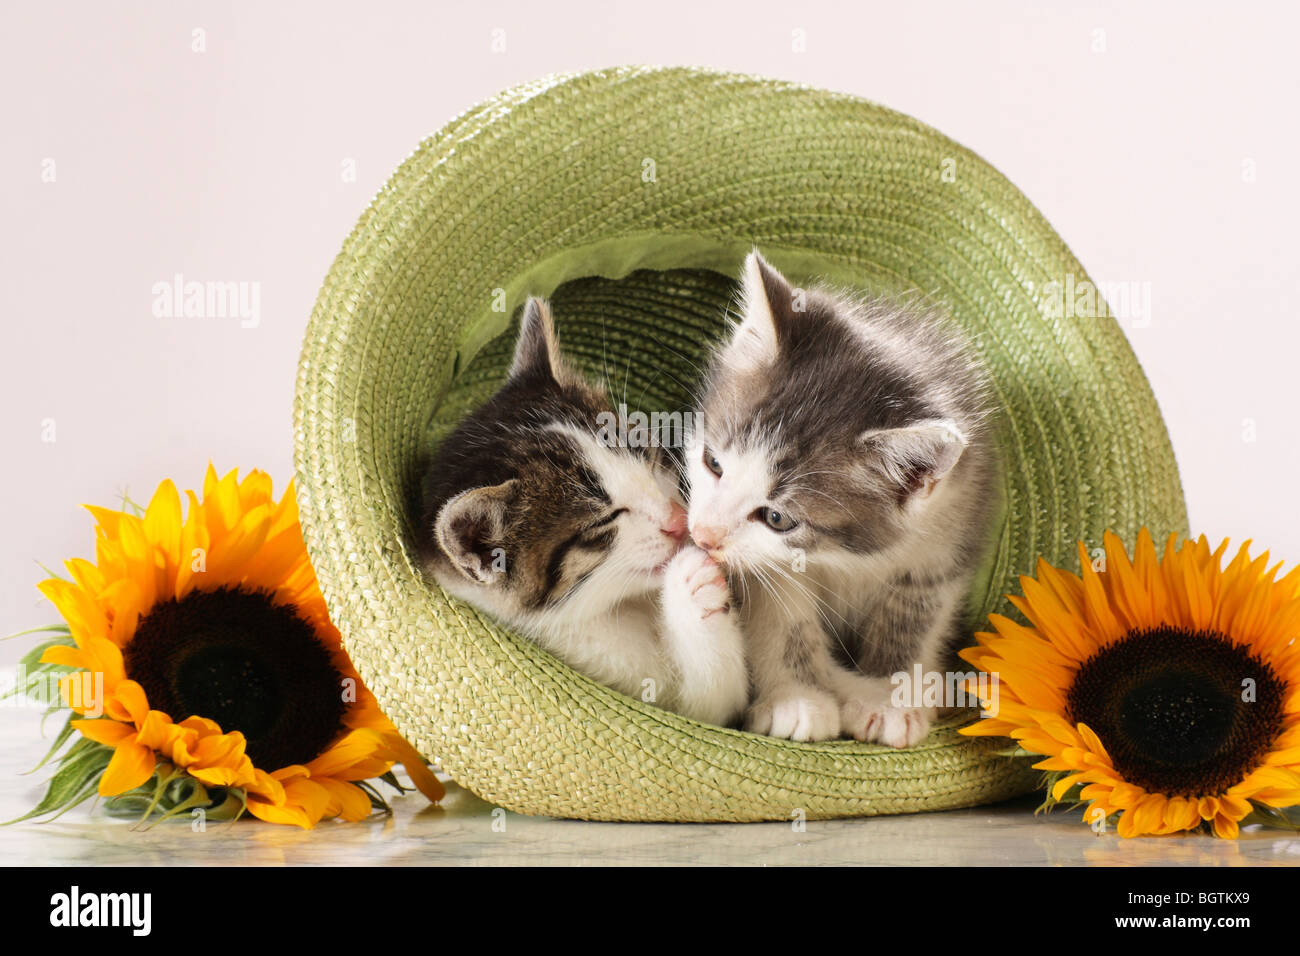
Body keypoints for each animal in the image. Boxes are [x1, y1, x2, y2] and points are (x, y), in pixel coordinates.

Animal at [421, 297, 748, 723]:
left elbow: (721, 695)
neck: (617, 607)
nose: (678, 521)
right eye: (604, 520)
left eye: (643, 453)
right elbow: (710, 701)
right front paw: (693, 586)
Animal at [686, 252, 998, 749]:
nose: (703, 535)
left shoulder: (949, 533)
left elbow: (914, 614)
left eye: (778, 518)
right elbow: (785, 619)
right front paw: (798, 699)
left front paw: (890, 696)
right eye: (713, 463)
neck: (846, 556)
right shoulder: (768, 571)